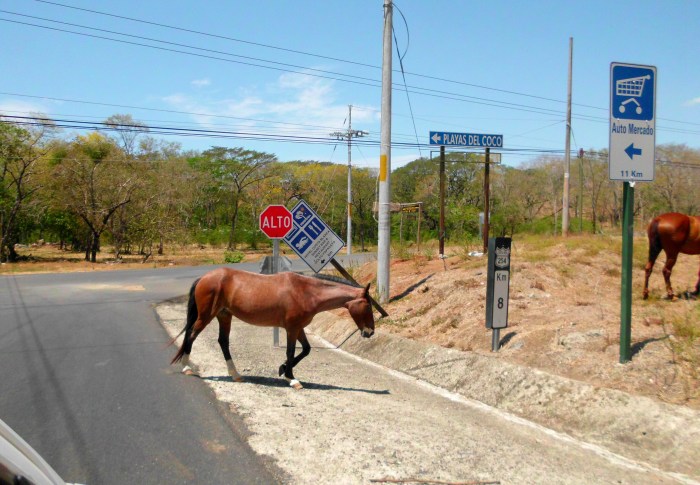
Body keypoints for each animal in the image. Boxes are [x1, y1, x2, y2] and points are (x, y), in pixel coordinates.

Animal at [169, 268, 375, 389]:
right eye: (368, 306)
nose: (370, 332)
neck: (306, 292)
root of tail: (204, 277)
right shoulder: (292, 328)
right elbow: (291, 351)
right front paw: (291, 378)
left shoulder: (298, 328)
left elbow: (306, 350)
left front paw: (282, 369)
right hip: (206, 316)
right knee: (191, 335)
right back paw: (187, 367)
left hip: (224, 316)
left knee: (223, 342)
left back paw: (235, 374)